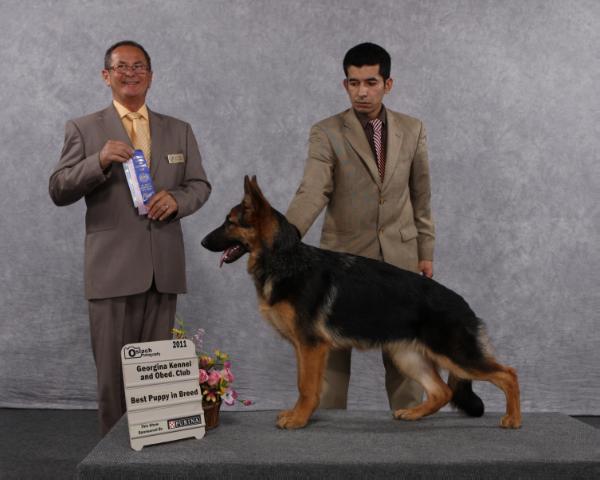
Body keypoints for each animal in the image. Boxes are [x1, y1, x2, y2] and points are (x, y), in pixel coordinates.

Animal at [203, 177, 520, 432]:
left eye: (229, 222)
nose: (203, 241)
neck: (285, 259)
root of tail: (464, 305)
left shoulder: (311, 346)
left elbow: (307, 386)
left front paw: (298, 419)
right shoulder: (303, 348)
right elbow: (302, 383)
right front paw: (297, 415)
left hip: (456, 356)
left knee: (508, 374)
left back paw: (513, 419)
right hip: (407, 356)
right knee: (442, 391)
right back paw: (413, 414)